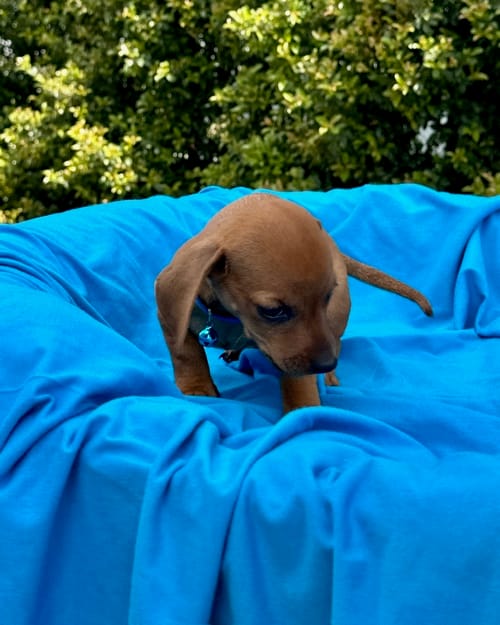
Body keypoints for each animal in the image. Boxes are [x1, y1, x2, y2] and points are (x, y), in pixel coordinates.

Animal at [155, 193, 433, 414]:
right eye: (273, 311)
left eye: (327, 296)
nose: (326, 363)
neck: (233, 319)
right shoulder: (172, 316)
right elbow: (186, 355)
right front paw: (196, 388)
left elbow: (298, 380)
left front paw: (303, 410)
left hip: (338, 316)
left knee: (337, 340)